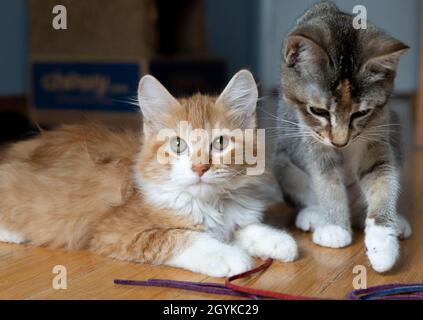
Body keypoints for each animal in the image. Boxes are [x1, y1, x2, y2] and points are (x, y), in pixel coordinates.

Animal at [0, 71, 298, 276]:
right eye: (178, 145)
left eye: (220, 143)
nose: (200, 168)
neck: (210, 203)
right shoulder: (116, 232)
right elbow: (184, 238)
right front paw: (230, 256)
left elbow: (243, 228)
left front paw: (277, 240)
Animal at [274, 3, 412, 272]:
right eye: (318, 111)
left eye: (361, 113)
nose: (340, 142)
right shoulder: (311, 139)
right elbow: (327, 181)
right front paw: (334, 227)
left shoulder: (378, 131)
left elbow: (382, 178)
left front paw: (383, 242)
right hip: (283, 162)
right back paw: (314, 215)